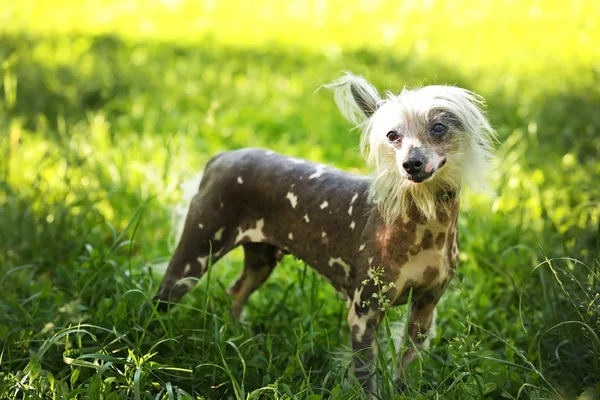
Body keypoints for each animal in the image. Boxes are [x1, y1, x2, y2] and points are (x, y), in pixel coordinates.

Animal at [152, 72, 494, 390]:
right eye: (392, 135)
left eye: (438, 128)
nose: (411, 163)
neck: (424, 223)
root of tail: (220, 157)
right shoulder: (364, 314)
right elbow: (365, 377)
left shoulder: (424, 311)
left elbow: (406, 369)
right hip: (193, 257)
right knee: (159, 300)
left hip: (261, 261)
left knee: (236, 294)